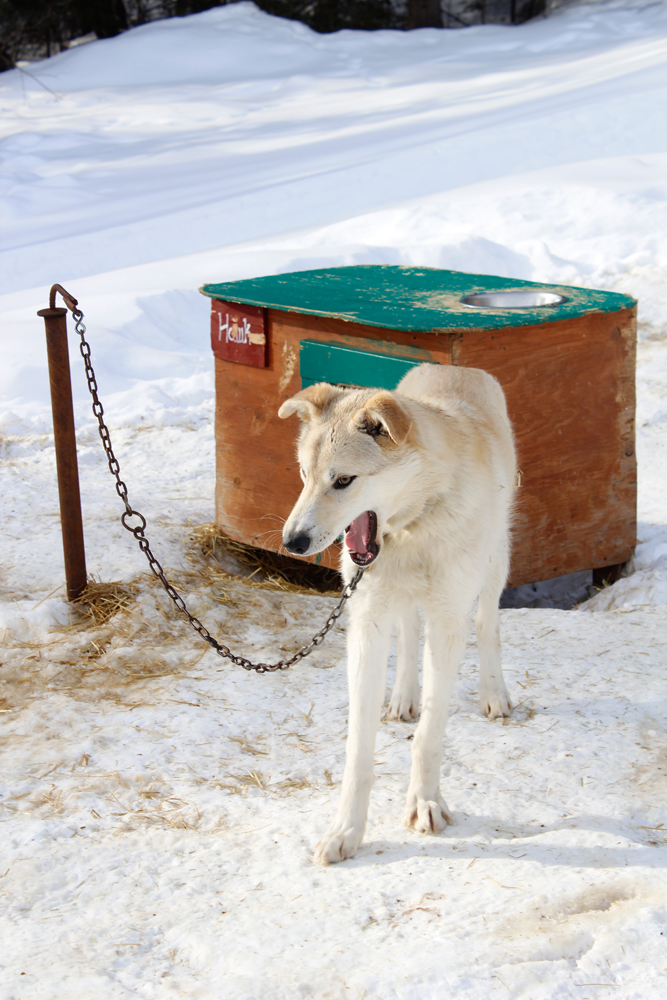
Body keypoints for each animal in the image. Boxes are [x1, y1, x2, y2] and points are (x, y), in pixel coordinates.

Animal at [276, 364, 516, 864]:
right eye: (304, 474)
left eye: (343, 481)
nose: (292, 543)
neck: (413, 524)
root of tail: (455, 366)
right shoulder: (366, 624)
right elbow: (358, 749)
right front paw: (346, 830)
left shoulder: (447, 622)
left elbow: (429, 737)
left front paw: (424, 803)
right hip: (397, 602)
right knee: (407, 633)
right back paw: (404, 696)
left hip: (494, 563)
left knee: (487, 625)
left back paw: (494, 693)